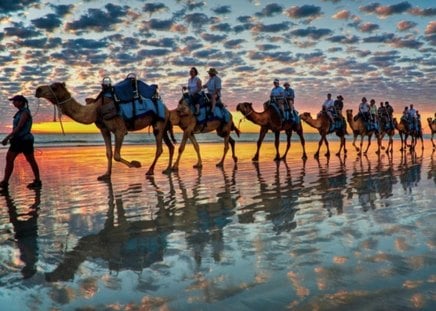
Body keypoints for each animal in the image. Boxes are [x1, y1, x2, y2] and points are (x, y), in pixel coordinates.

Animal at [34, 82, 174, 180]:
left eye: (54, 87)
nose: (38, 90)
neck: (95, 110)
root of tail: (167, 109)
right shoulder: (104, 130)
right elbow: (109, 153)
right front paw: (106, 175)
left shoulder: (120, 129)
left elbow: (116, 155)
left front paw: (135, 164)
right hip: (162, 126)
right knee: (170, 146)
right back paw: (168, 169)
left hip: (159, 124)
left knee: (159, 148)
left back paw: (150, 170)